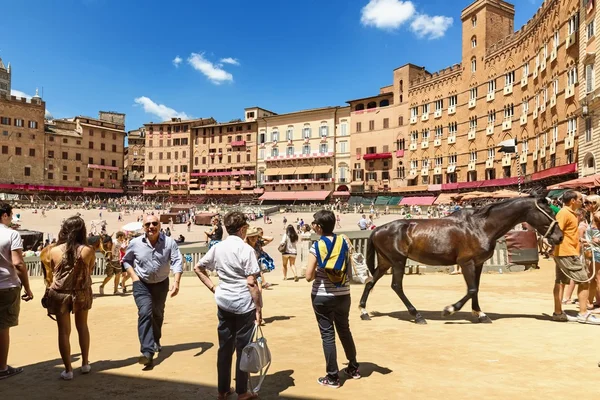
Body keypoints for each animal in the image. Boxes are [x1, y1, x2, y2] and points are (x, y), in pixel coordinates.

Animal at [358, 195, 564, 324]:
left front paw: (480, 314)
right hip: (398, 261)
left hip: (386, 262)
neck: (480, 226)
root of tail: (378, 229)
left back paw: (364, 312)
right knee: (396, 286)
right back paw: (417, 315)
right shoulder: (466, 263)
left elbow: (476, 288)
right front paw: (449, 309)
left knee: (370, 282)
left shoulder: (478, 263)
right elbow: (471, 289)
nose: (560, 237)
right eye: (549, 212)